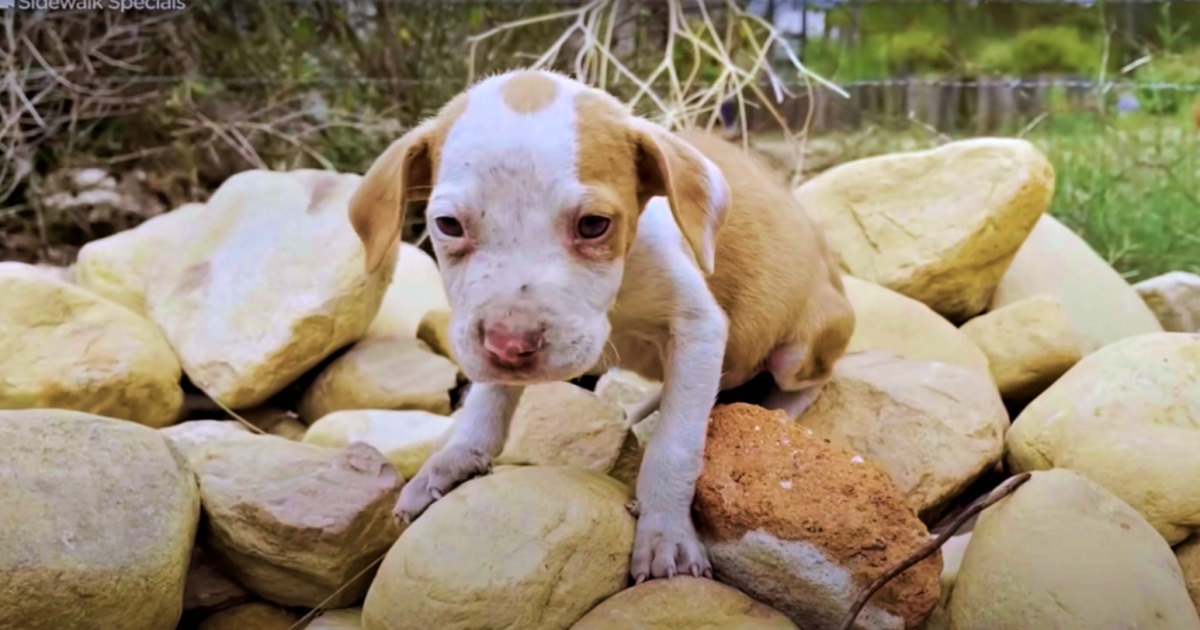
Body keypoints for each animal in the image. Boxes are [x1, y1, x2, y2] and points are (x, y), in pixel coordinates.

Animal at [348, 67, 854, 580]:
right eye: (448, 225)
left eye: (593, 225)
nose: (510, 346)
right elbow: (487, 401)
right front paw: (452, 459)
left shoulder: (698, 327)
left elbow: (675, 445)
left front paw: (666, 531)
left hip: (801, 348)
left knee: (808, 380)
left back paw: (777, 411)